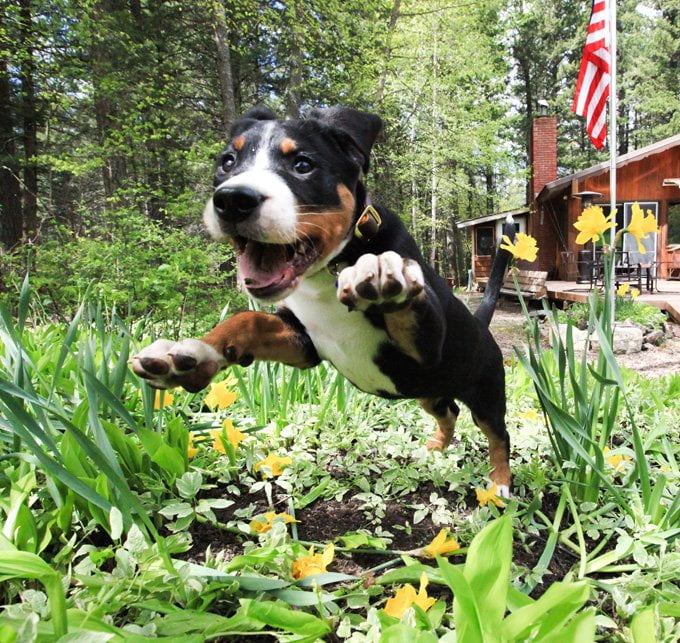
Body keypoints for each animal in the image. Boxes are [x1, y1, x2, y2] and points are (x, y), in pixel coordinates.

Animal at [131, 107, 516, 498]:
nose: (233, 200)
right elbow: (248, 321)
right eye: (228, 161)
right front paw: (191, 355)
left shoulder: (427, 348)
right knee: (448, 411)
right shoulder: (304, 342)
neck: (327, 271)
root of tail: (481, 325)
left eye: (303, 164)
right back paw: (436, 447)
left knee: (498, 434)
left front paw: (383, 272)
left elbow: (409, 304)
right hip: (428, 390)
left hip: (484, 392)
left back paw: (499, 483)